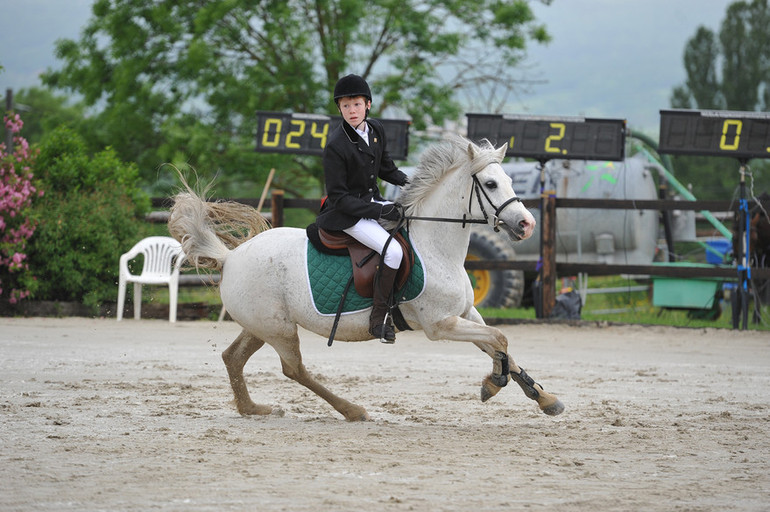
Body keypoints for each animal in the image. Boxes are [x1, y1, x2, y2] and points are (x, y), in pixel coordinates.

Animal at [170, 135, 564, 420]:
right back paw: (352, 410)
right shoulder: (441, 325)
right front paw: (493, 383)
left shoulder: (466, 314)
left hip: (261, 326)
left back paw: (253, 409)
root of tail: (232, 256)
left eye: (510, 180)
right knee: (293, 369)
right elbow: (500, 339)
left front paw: (543, 397)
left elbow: (500, 345)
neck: (437, 247)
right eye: (491, 184)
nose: (526, 225)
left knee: (233, 357)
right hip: (278, 329)